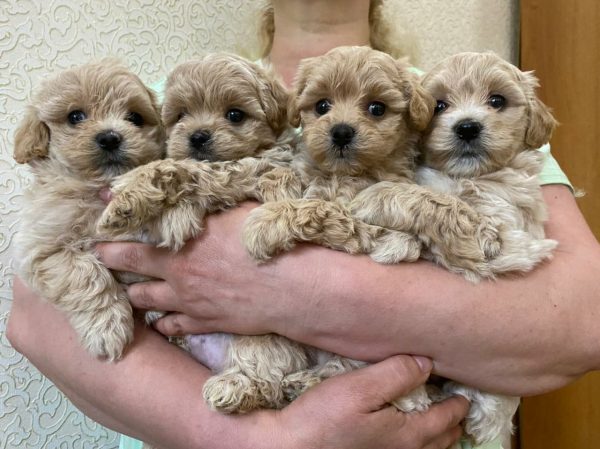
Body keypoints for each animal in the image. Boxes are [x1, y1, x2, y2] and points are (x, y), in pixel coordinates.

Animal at [14, 60, 164, 360]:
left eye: (135, 117)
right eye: (75, 116)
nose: (110, 137)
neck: (95, 190)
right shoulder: (43, 251)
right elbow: (86, 274)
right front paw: (107, 328)